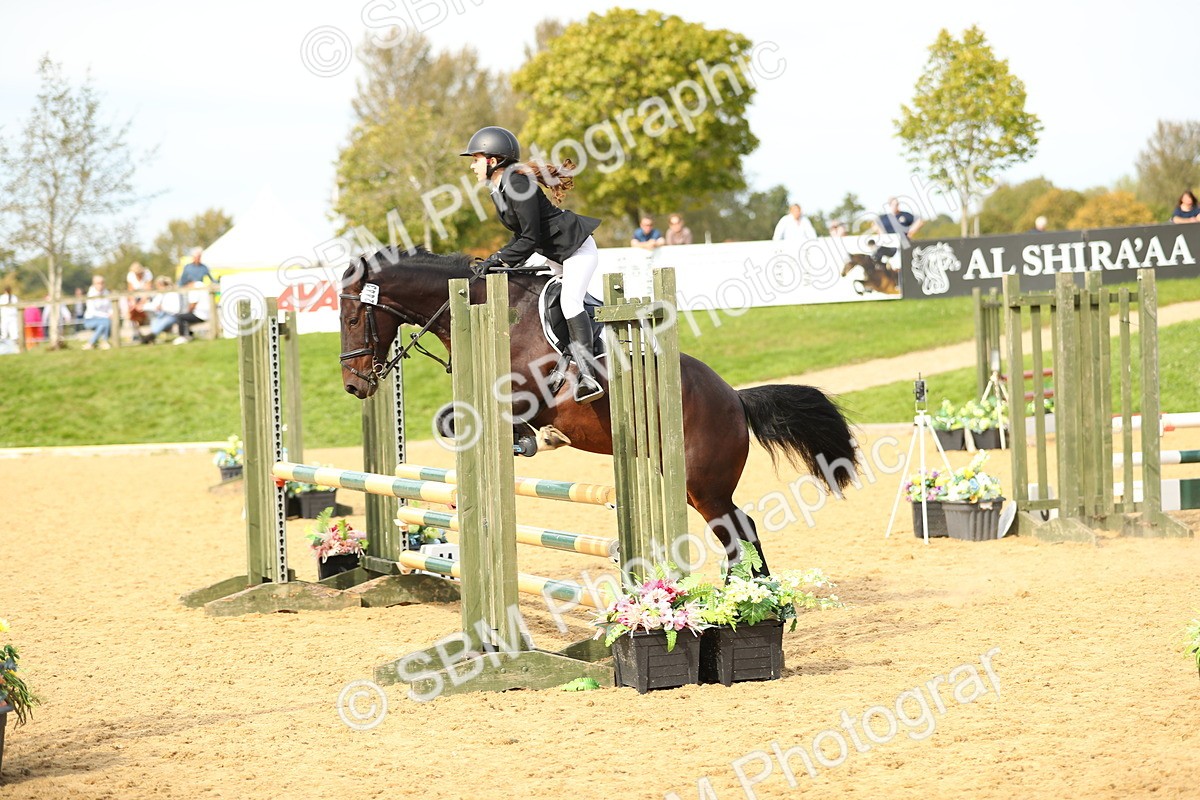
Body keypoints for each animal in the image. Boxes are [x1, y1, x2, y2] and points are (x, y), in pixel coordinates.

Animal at [338, 247, 860, 576]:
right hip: (686, 480)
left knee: (737, 531)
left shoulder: (529, 394)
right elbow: (454, 421)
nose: (353, 385)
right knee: (740, 530)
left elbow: (472, 420)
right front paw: (527, 442)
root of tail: (733, 396)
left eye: (351, 317)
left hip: (703, 483)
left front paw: (531, 440)